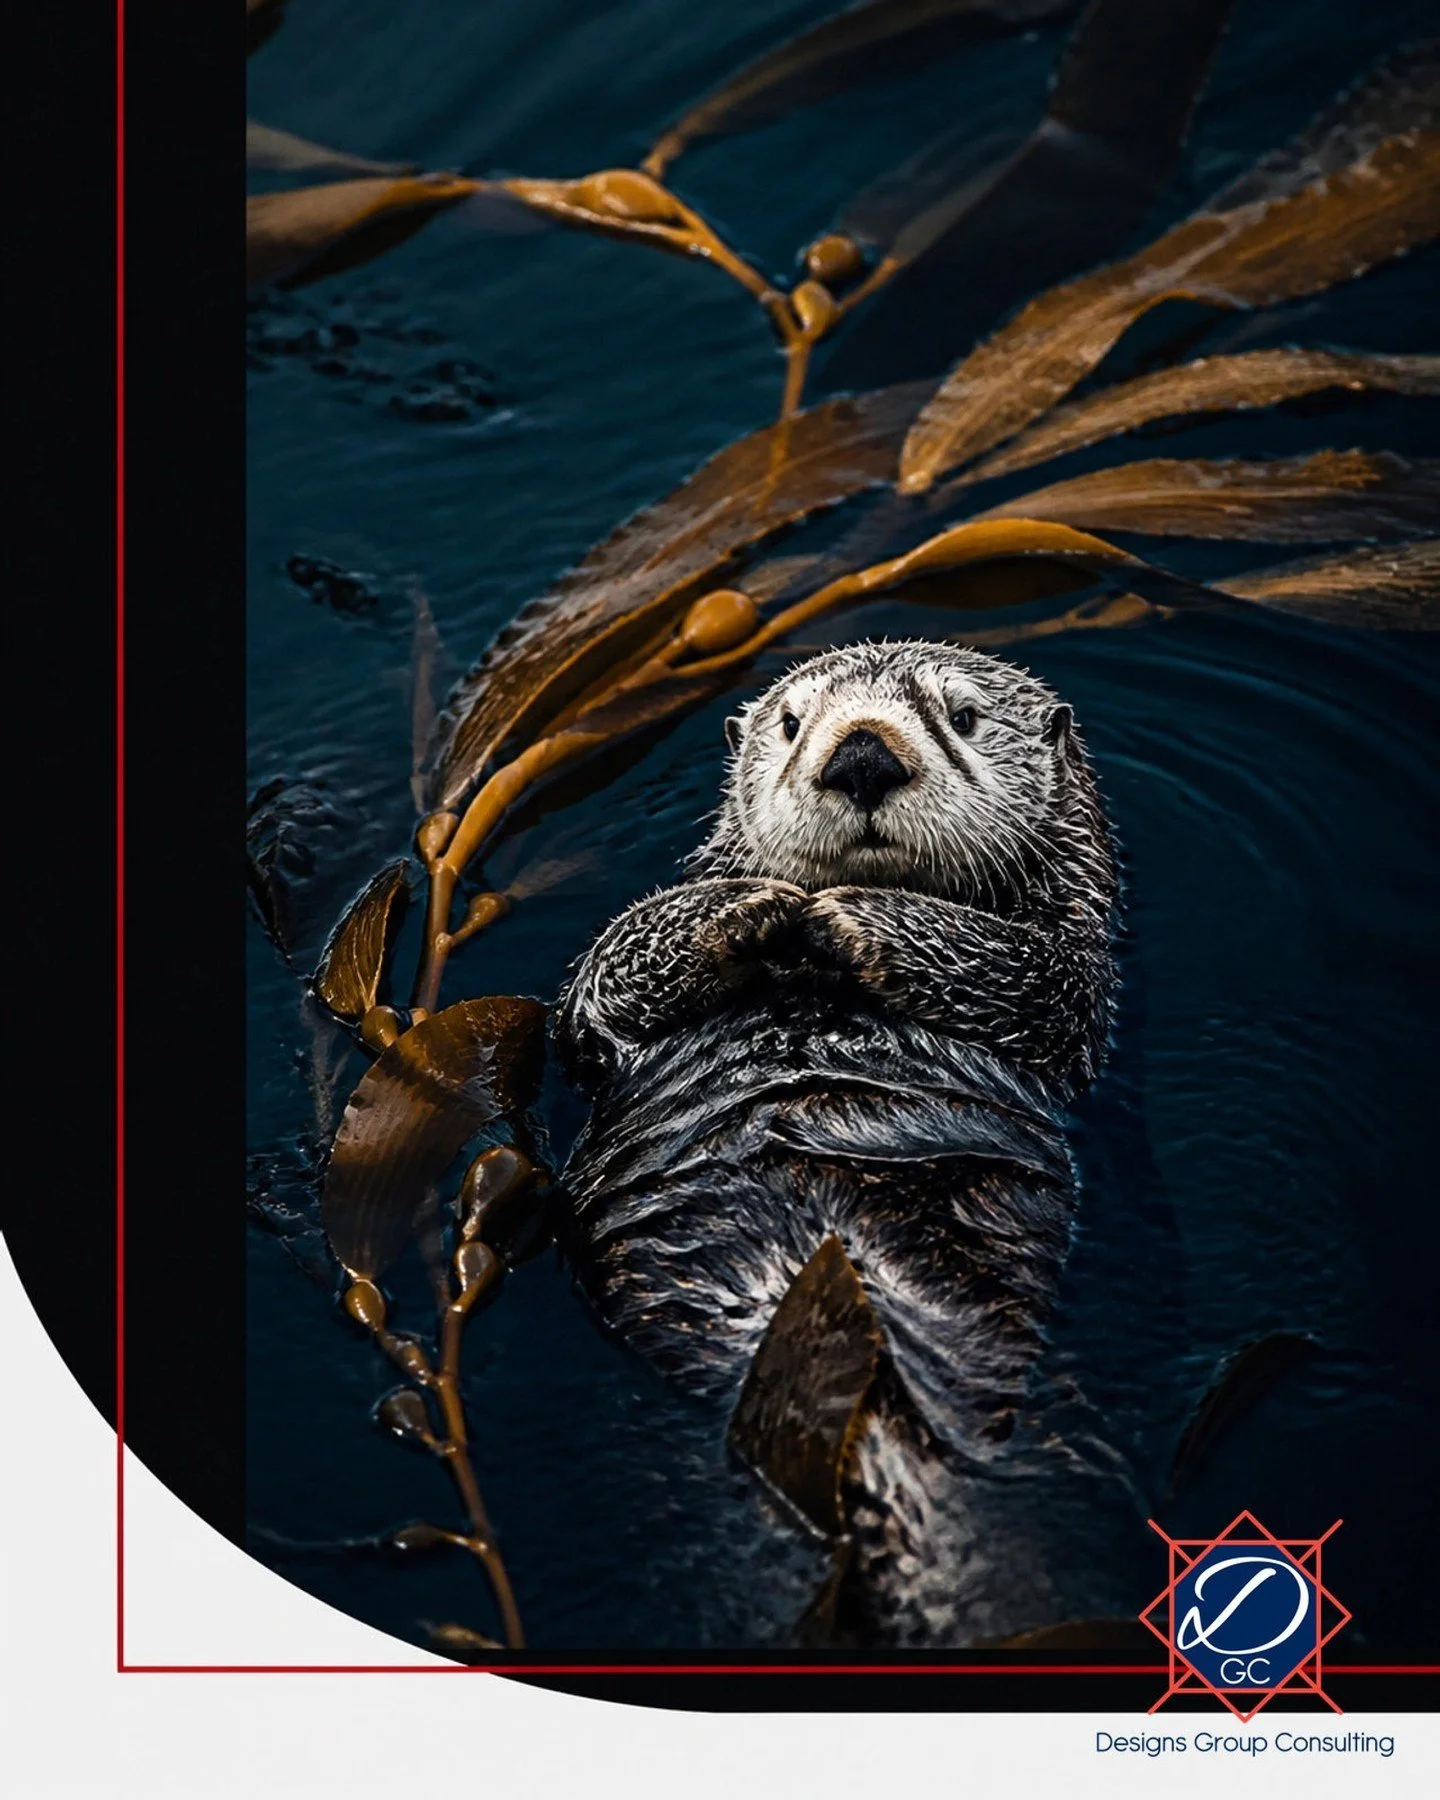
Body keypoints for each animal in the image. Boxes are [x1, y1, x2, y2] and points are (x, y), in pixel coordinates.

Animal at [553, 639, 1127, 1645]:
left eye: (963, 717)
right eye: (791, 724)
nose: (861, 754)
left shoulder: (1071, 995)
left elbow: (1013, 963)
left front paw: (841, 914)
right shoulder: (591, 1021)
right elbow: (608, 965)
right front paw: (752, 902)